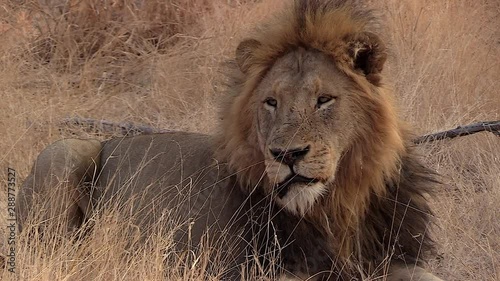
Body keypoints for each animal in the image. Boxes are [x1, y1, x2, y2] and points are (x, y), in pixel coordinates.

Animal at [17, 1, 444, 278]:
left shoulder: (399, 256)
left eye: (324, 100)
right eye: (271, 102)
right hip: (65, 151)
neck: (338, 204)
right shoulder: (261, 269)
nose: (288, 154)